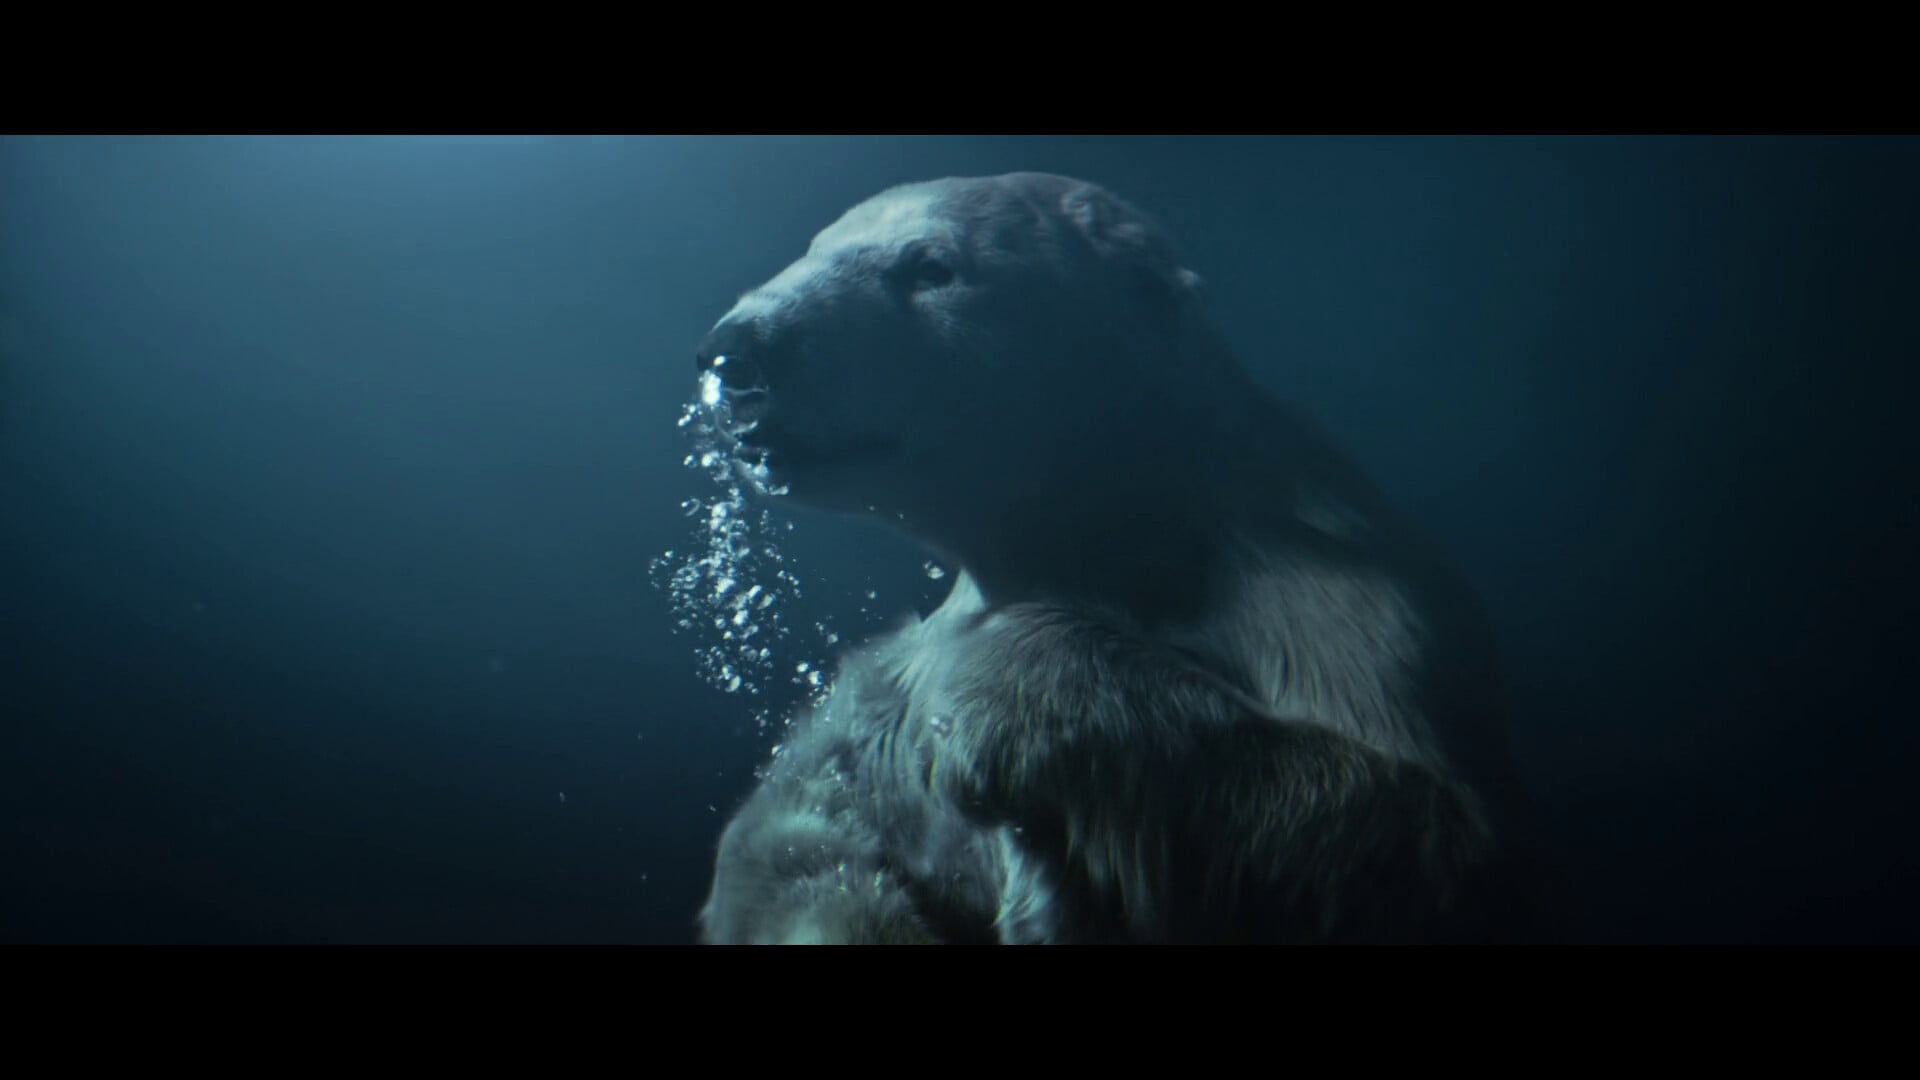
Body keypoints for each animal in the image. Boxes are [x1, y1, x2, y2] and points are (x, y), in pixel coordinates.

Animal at [691, 172, 1549, 944]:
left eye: (930, 266)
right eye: (815, 246)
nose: (733, 350)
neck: (1131, 525)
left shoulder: (1347, 600)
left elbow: (1423, 832)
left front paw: (1006, 686)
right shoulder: (893, 684)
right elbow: (789, 837)